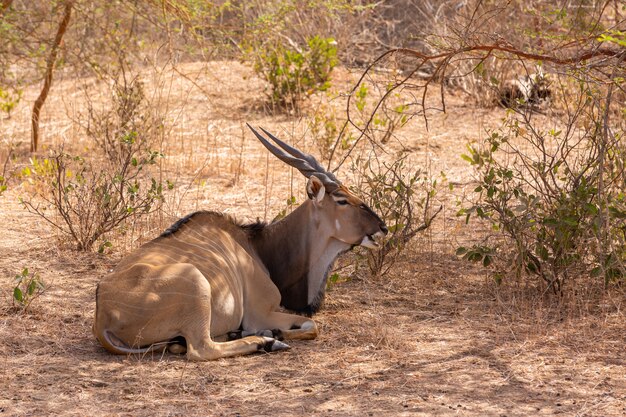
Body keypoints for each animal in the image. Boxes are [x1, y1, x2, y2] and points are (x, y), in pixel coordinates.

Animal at [92, 124, 386, 360]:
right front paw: (273, 334)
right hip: (195, 282)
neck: (256, 245)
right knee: (200, 349)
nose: (382, 227)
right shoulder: (262, 312)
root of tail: (103, 316)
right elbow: (311, 326)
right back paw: (265, 342)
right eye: (342, 200)